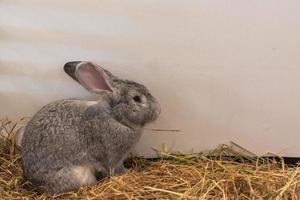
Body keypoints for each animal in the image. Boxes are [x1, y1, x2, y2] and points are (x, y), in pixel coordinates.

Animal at [19, 61, 161, 194]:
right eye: (136, 98)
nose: (159, 111)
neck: (115, 118)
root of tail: (34, 184)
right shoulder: (114, 157)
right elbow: (115, 168)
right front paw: (127, 171)